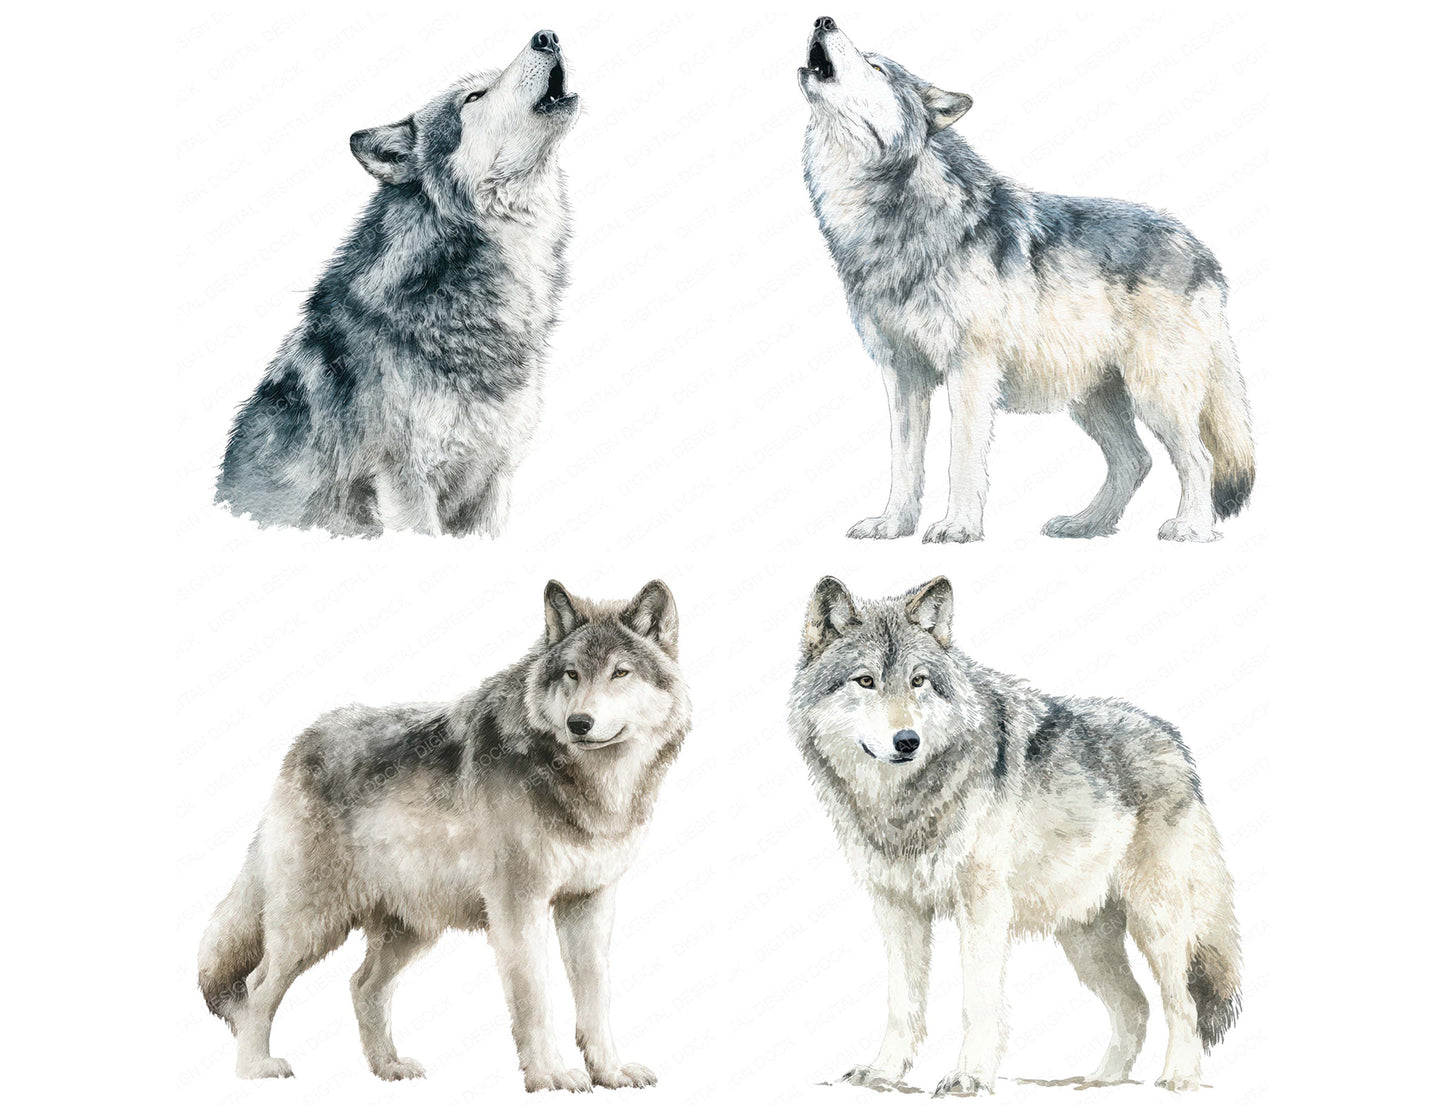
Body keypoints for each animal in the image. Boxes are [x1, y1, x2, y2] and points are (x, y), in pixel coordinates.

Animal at [199, 580, 689, 1090]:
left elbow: (596, 999)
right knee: (257, 987)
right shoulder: (518, 905)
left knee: (362, 986)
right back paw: (254, 1069)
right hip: (312, 926)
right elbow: (535, 1001)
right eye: (571, 674)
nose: (579, 723)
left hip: (410, 929)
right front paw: (550, 1075)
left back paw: (389, 1067)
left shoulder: (590, 901)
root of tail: (300, 745)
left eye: (620, 672)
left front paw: (611, 1072)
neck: (589, 784)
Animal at [789, 575, 1241, 1094]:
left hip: (1156, 923)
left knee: (1182, 1003)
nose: (907, 741)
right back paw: (1098, 1083)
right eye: (865, 681)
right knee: (1135, 1007)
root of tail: (1177, 746)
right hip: (1085, 941)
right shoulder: (897, 907)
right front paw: (881, 1074)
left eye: (918, 681)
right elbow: (902, 1004)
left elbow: (978, 1002)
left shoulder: (983, 906)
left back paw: (1178, 1080)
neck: (903, 804)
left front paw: (970, 1076)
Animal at [799, 18, 1254, 543]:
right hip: (1094, 399)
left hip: (1156, 391)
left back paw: (1191, 528)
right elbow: (903, 461)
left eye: (875, 67)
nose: (824, 20)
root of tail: (1204, 254)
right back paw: (1085, 524)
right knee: (1135, 461)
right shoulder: (903, 373)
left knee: (1198, 458)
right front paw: (892, 524)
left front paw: (957, 527)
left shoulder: (971, 370)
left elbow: (961, 458)